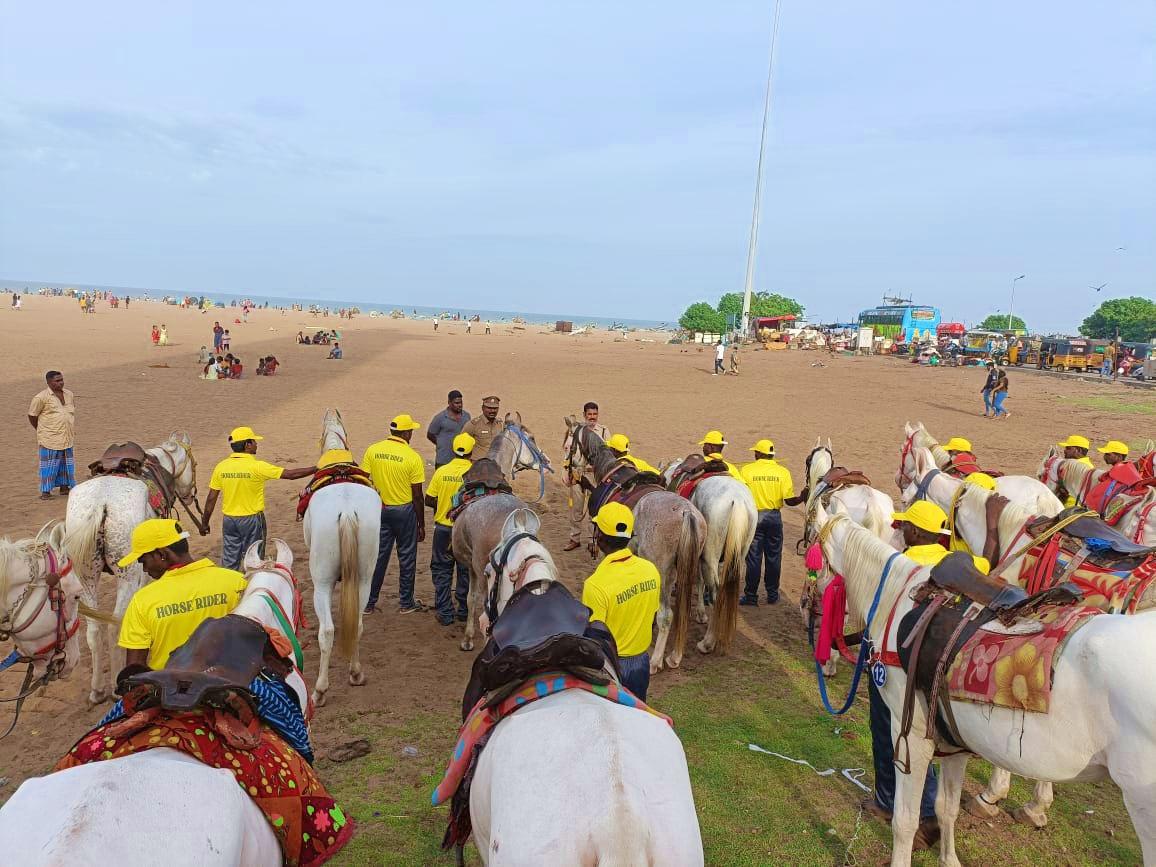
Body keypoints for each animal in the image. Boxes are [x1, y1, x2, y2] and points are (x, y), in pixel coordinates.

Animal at [63, 432, 201, 707]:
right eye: (194, 465)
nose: (191, 494)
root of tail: (101, 504)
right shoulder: (144, 571)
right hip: (125, 575)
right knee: (114, 624)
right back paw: (117, 687)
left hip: (87, 576)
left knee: (94, 630)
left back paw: (97, 691)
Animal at [305, 409, 381, 707]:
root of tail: (347, 509)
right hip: (364, 578)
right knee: (357, 625)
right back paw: (356, 673)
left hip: (322, 583)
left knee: (327, 631)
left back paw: (320, 690)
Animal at [813, 506, 1156, 864]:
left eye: (812, 544)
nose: (811, 606)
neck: (899, 598)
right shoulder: (953, 739)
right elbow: (946, 808)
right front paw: (950, 859)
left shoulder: (912, 736)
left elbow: (905, 820)